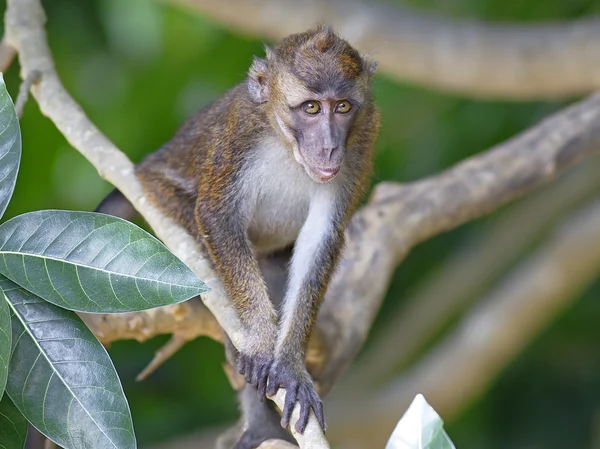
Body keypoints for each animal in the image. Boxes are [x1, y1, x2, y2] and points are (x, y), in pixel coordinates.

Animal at [98, 25, 380, 448]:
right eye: (312, 108)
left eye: (343, 107)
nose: (330, 147)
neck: (286, 146)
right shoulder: (240, 133)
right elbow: (218, 216)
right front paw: (261, 340)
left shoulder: (362, 143)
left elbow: (322, 238)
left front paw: (289, 363)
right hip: (158, 193)